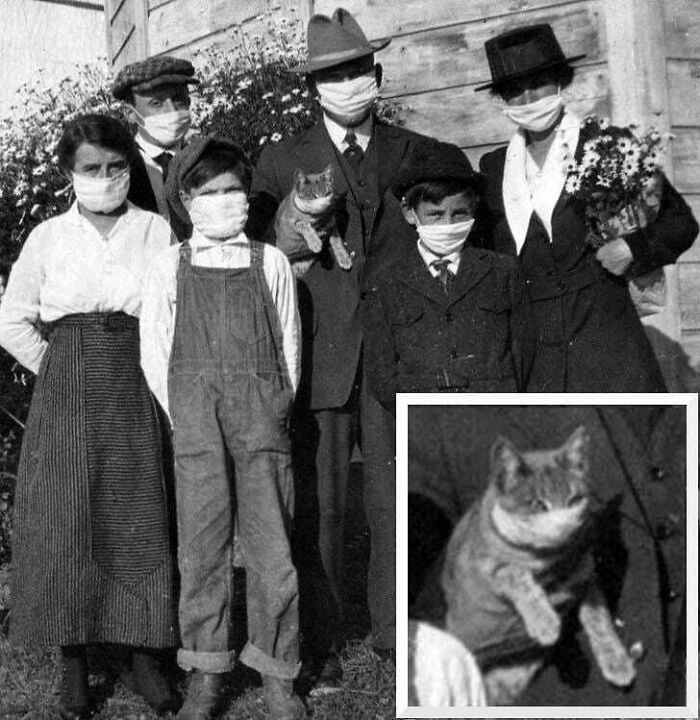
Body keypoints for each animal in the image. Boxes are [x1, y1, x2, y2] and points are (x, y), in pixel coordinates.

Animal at [446, 428, 636, 704]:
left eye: (573, 499)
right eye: (538, 504)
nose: (564, 525)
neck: (551, 557)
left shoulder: (585, 571)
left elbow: (598, 616)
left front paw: (616, 660)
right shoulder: (486, 563)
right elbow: (515, 575)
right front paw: (544, 621)